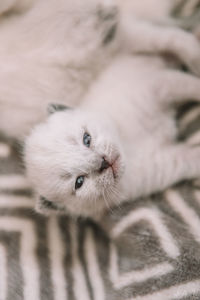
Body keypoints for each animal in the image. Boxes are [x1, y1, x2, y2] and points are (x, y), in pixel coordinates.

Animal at [24, 54, 200, 218]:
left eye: (86, 139)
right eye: (79, 182)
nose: (103, 162)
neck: (128, 145)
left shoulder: (156, 86)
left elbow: (189, 85)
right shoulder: (164, 165)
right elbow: (191, 160)